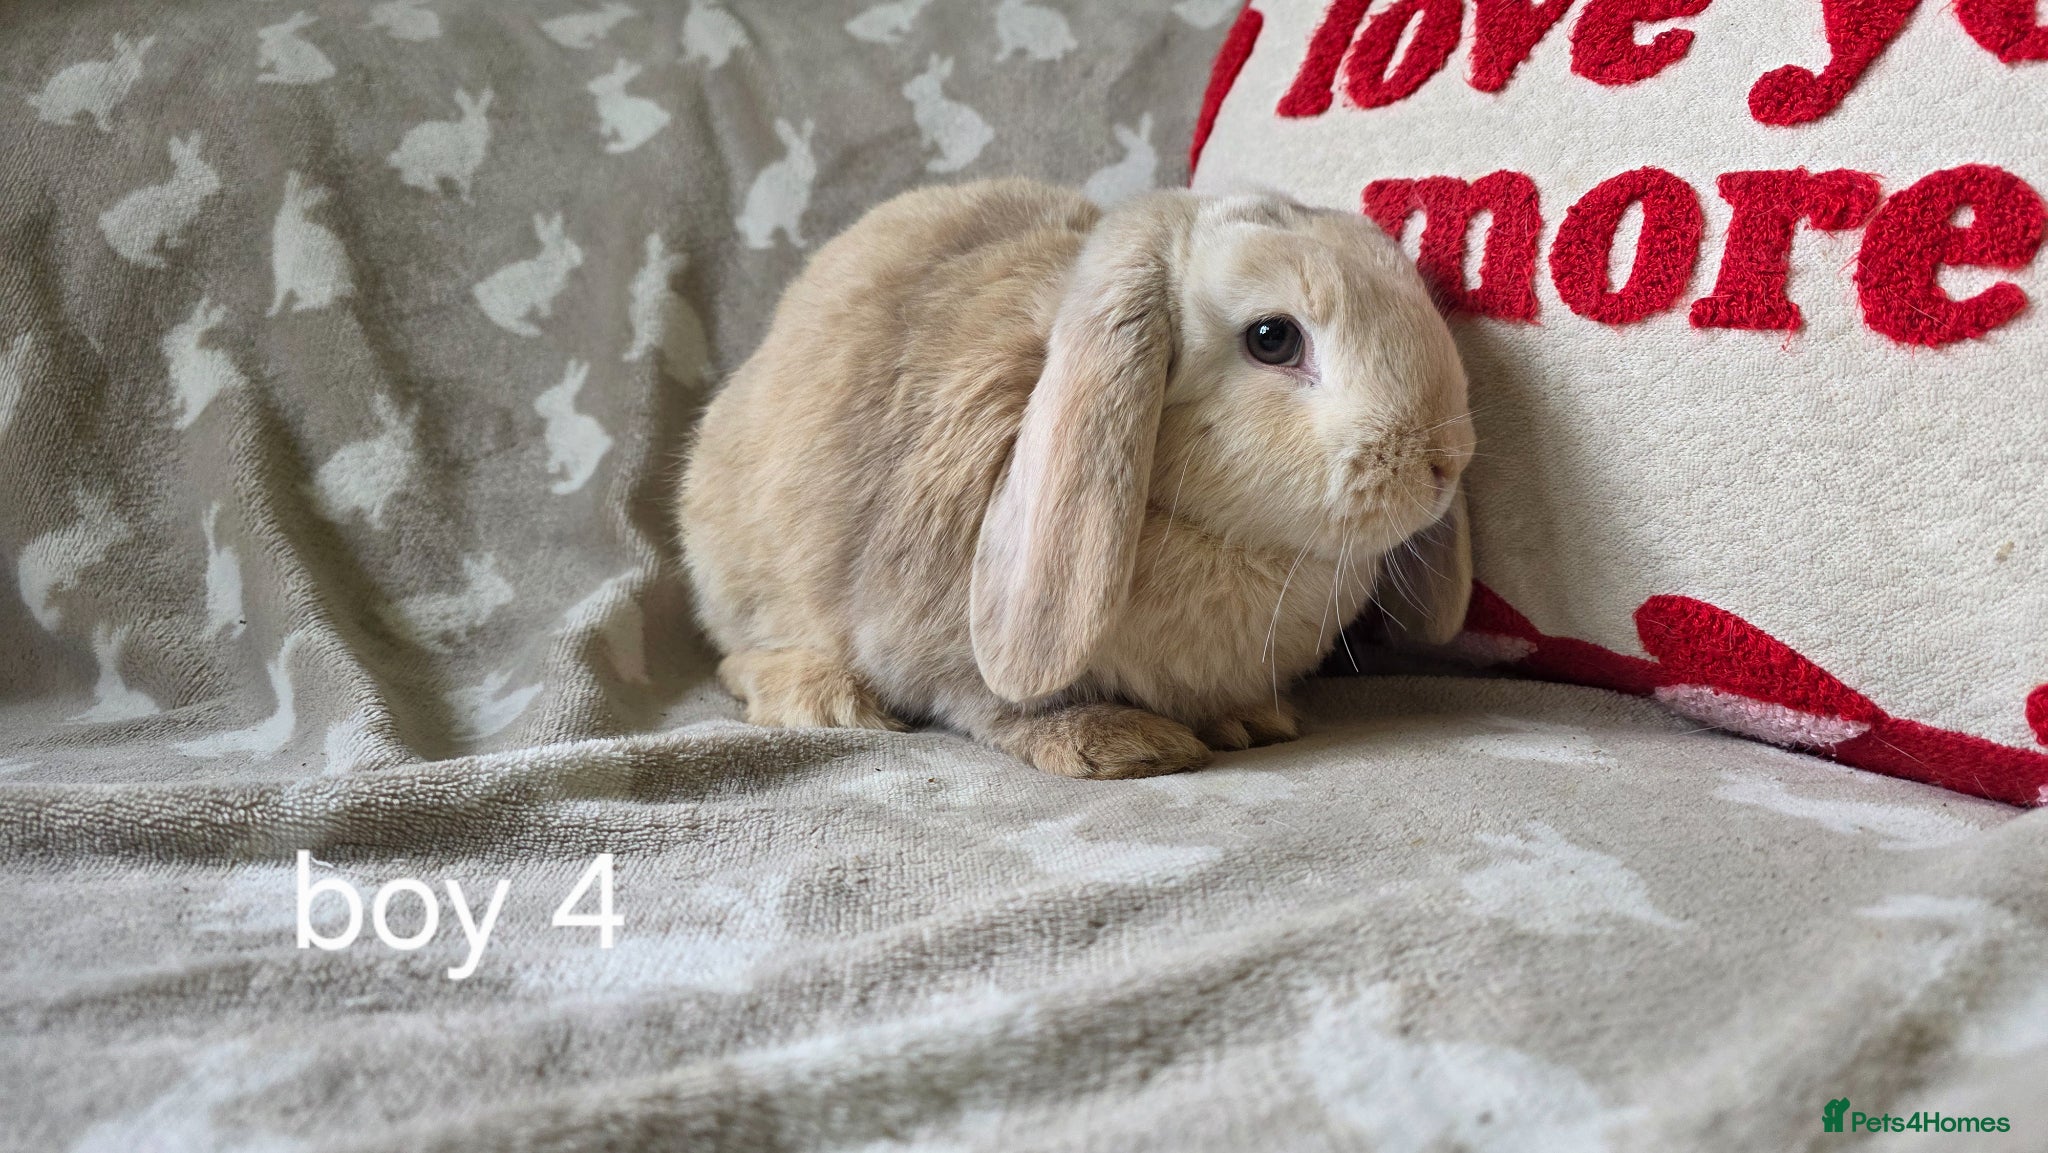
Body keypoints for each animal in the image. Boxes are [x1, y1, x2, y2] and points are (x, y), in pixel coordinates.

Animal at [678, 179, 1474, 779]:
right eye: (1272, 338)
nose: (1447, 461)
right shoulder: (936, 650)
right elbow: (990, 705)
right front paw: (1121, 745)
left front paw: (1248, 721)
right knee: (736, 657)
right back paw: (827, 698)